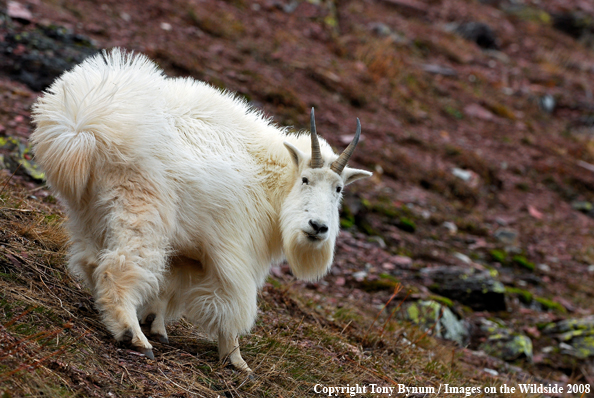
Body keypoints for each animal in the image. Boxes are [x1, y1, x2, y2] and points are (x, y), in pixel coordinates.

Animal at [31, 49, 370, 370]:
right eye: (306, 179)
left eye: (338, 189)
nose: (318, 227)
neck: (272, 180)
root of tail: (84, 127)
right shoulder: (235, 253)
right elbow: (233, 305)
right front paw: (236, 360)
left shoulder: (187, 253)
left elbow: (167, 289)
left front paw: (158, 325)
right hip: (143, 210)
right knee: (118, 267)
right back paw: (133, 336)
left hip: (89, 210)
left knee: (90, 260)